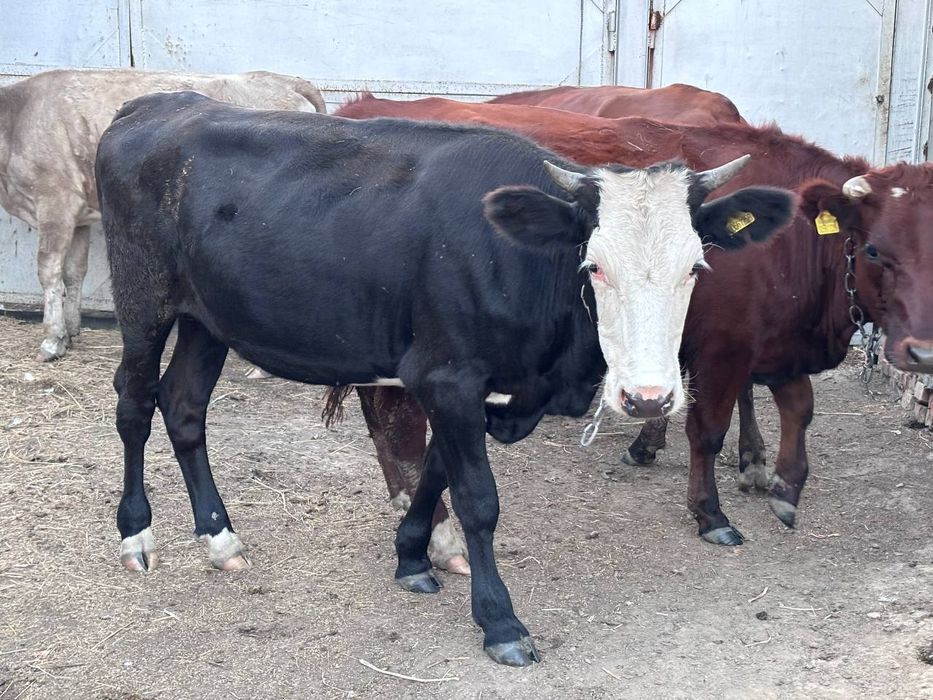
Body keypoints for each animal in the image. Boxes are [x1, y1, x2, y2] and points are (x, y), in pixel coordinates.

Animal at [0, 68, 327, 362]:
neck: (16, 119)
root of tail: (284, 79)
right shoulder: (78, 216)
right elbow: (74, 272)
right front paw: (70, 332)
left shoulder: (55, 202)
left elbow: (48, 271)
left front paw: (52, 340)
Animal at [95, 91, 791, 665]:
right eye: (593, 265)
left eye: (696, 268)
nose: (648, 398)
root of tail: (156, 103)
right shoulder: (448, 376)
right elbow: (478, 498)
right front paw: (500, 622)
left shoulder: (470, 387)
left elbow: (434, 468)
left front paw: (411, 557)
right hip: (143, 300)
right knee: (134, 404)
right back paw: (136, 534)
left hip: (206, 318)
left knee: (185, 408)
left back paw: (220, 538)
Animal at [333, 95, 933, 548]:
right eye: (875, 251)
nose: (922, 353)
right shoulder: (724, 348)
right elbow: (707, 429)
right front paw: (710, 512)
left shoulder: (772, 342)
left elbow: (799, 408)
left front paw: (782, 485)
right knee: (391, 416)